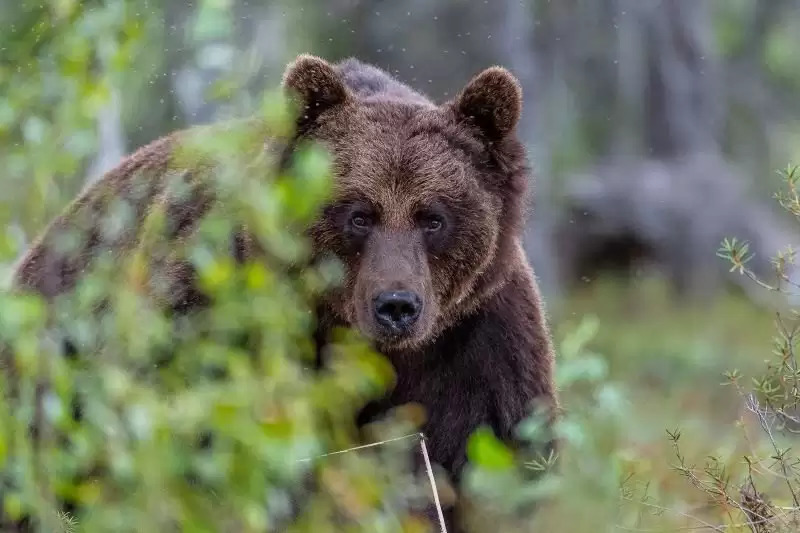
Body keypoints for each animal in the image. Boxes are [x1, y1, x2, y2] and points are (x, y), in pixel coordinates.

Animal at [6, 53, 556, 528]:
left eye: (433, 218)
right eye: (359, 215)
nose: (396, 306)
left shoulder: (475, 341)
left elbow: (486, 459)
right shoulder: (219, 303)